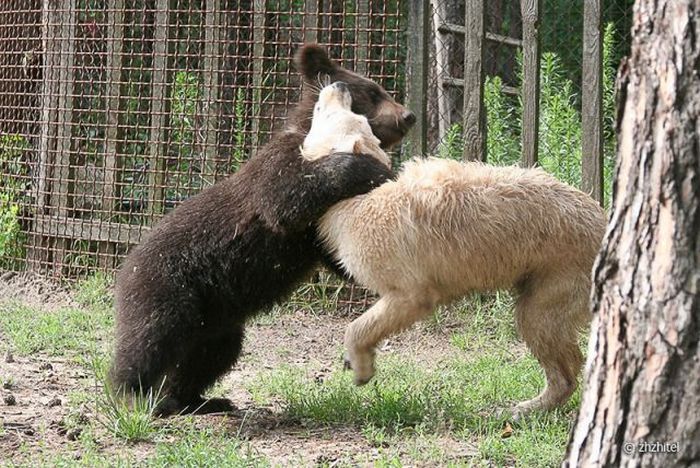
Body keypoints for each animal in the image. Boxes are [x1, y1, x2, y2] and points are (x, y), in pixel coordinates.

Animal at [110, 44, 416, 416]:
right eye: (373, 92)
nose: (408, 115)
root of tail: (127, 263)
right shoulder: (281, 172)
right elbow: (286, 196)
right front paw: (375, 170)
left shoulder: (318, 232)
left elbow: (340, 258)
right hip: (167, 285)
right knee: (150, 337)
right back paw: (133, 393)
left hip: (216, 319)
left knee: (211, 355)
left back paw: (198, 399)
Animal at [304, 82, 608, 414]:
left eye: (339, 114)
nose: (340, 84)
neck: (360, 192)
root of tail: (604, 219)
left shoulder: (410, 295)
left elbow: (357, 329)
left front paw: (362, 367)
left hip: (539, 311)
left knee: (567, 372)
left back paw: (526, 410)